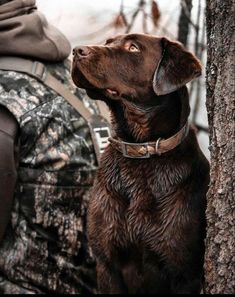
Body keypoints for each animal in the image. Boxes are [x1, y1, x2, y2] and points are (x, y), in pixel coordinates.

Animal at [71, 33, 209, 292]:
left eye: (133, 47)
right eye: (108, 42)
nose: (77, 50)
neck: (140, 151)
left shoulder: (185, 274)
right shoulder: (107, 264)